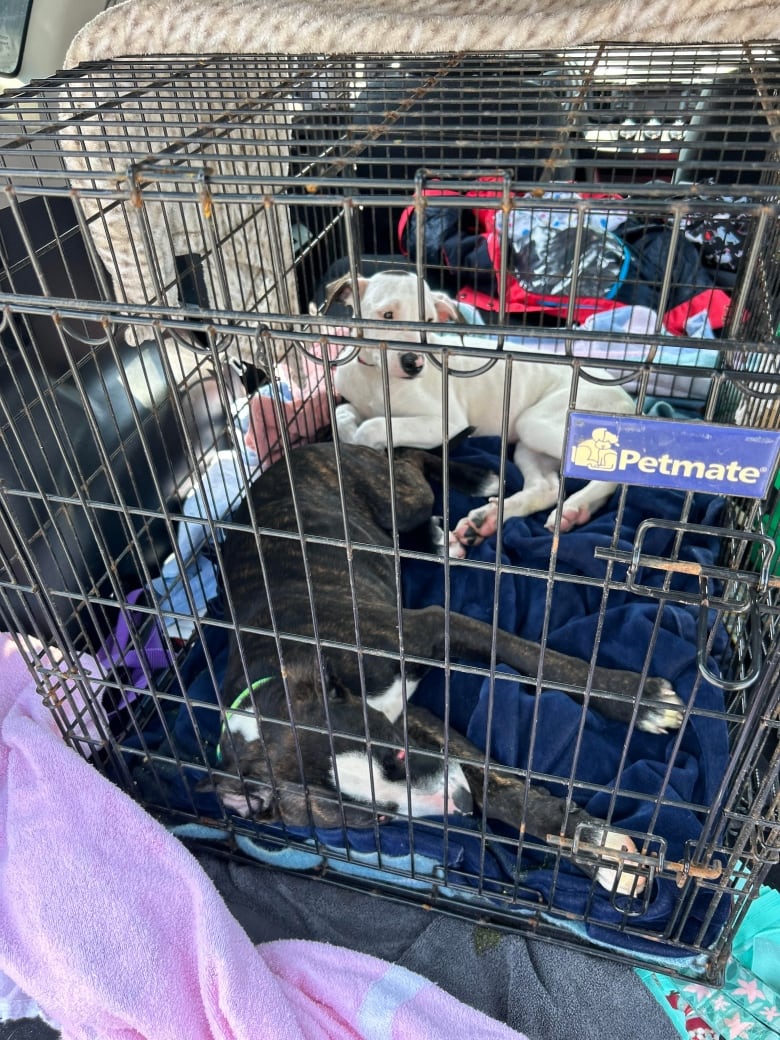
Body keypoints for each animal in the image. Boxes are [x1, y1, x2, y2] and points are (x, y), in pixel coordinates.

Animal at [332, 272, 636, 557]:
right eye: (387, 315)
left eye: (429, 320)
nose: (414, 363)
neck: (375, 376)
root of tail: (629, 401)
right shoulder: (356, 402)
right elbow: (342, 414)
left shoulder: (446, 422)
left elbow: (373, 426)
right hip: (530, 443)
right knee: (547, 487)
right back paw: (487, 521)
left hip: (544, 423)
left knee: (617, 470)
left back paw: (575, 506)